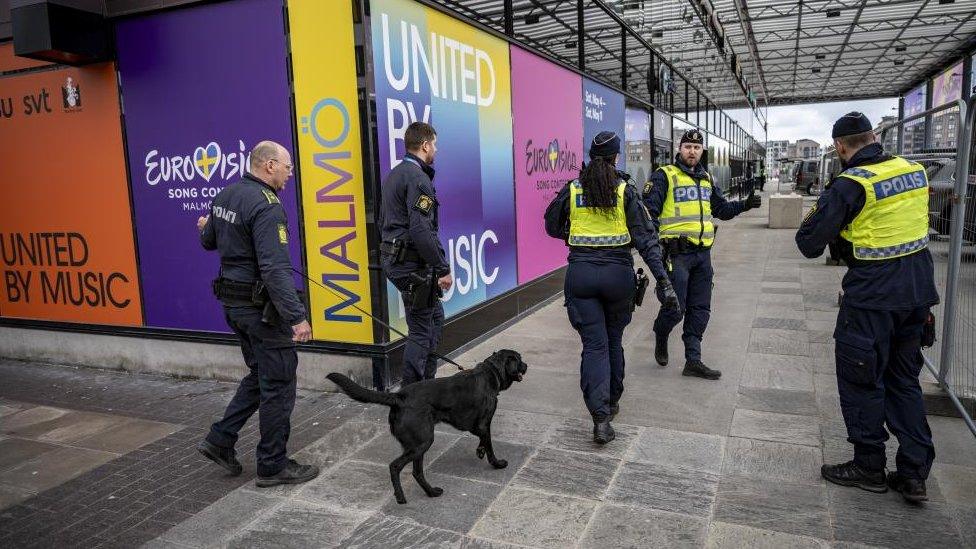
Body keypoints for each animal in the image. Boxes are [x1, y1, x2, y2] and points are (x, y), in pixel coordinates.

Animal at [326, 348, 528, 504]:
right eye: (519, 359)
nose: (527, 366)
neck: (490, 374)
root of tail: (399, 397)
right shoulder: (484, 423)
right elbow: (490, 445)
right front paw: (497, 463)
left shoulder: (479, 426)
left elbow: (482, 440)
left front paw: (480, 451)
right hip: (423, 442)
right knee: (395, 466)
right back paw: (401, 496)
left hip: (417, 444)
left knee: (416, 472)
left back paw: (431, 492)